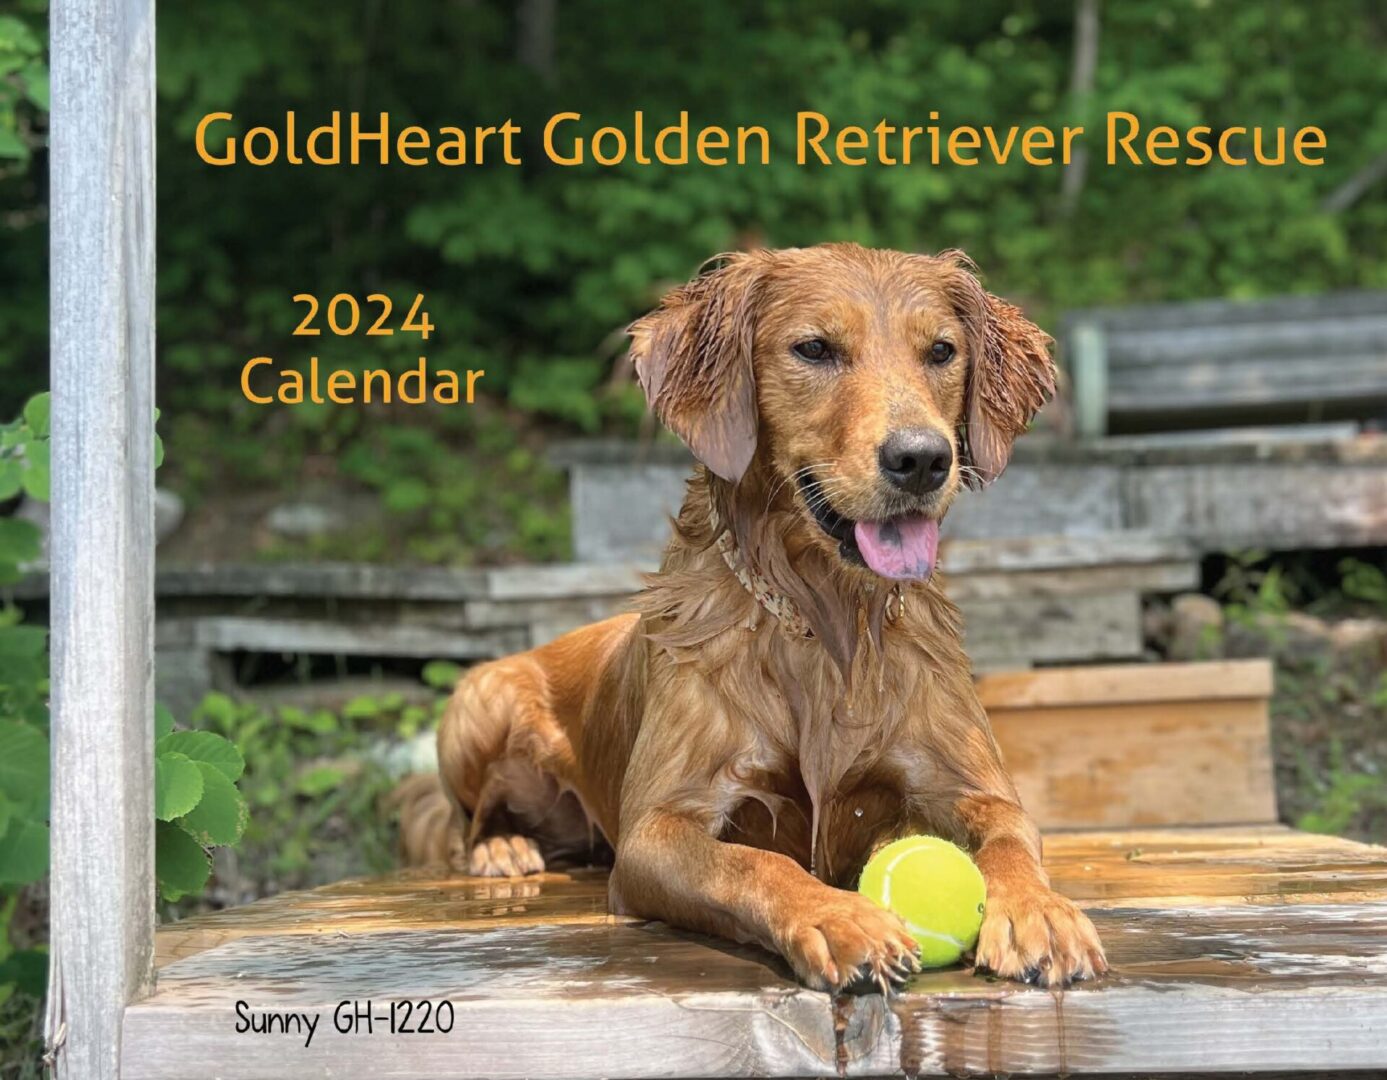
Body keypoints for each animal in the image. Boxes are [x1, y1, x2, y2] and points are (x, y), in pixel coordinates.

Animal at [421, 249, 1104, 992]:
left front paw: (1040, 912)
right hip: (480, 700)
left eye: (941, 351)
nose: (922, 459)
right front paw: (839, 918)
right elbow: (754, 862)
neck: (826, 626)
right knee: (469, 820)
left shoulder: (967, 785)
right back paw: (503, 848)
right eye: (814, 348)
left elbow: (1010, 835)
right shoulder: (658, 829)